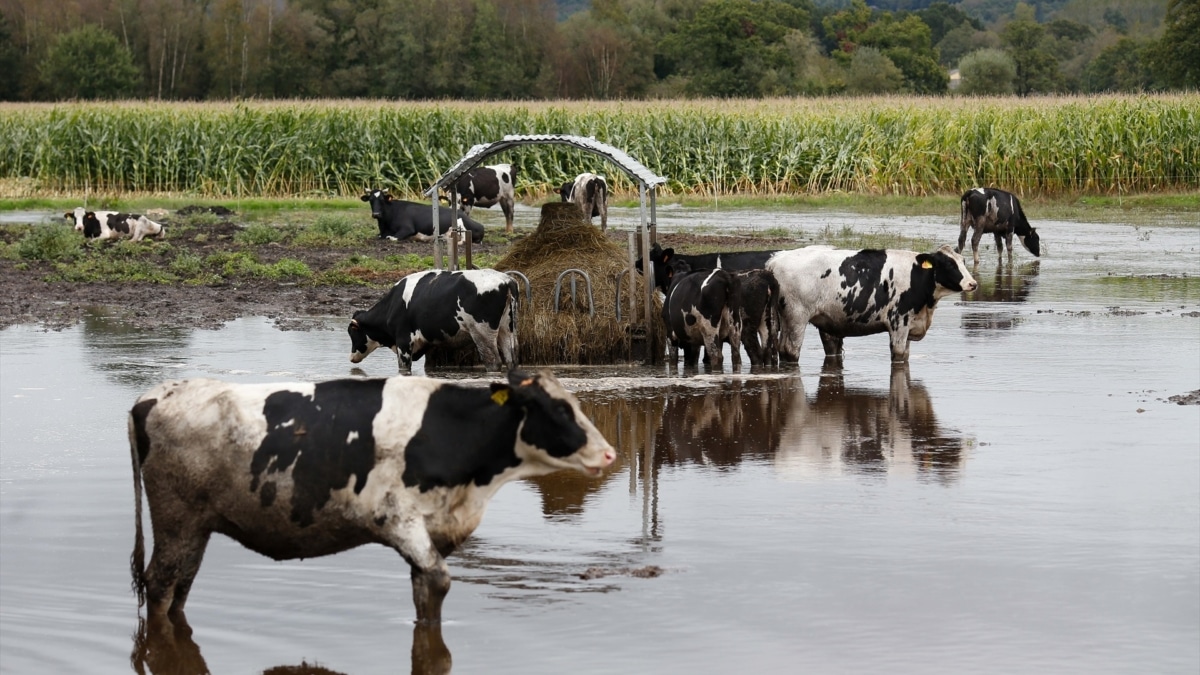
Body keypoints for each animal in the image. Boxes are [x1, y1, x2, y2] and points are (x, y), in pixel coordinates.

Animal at [129, 365, 619, 624]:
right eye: (557, 410)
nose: (610, 453)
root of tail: (153, 396)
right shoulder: (399, 519)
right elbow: (439, 581)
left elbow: (425, 595)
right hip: (175, 517)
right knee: (160, 584)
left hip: (196, 526)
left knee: (181, 586)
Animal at [348, 267, 516, 372]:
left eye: (353, 333)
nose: (351, 357)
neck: (393, 305)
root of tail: (506, 280)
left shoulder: (403, 341)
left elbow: (404, 368)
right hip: (507, 330)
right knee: (511, 360)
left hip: (483, 333)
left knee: (493, 362)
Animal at [768, 242, 974, 362]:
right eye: (949, 264)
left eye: (963, 261)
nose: (973, 283)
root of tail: (776, 260)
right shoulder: (899, 322)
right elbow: (899, 355)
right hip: (796, 317)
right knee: (790, 351)